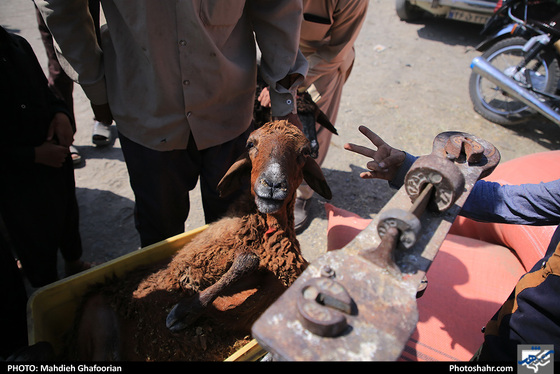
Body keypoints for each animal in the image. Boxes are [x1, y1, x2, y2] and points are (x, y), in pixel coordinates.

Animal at [70, 121, 332, 360]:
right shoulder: (191, 265)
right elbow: (242, 264)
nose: (273, 184)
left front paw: (185, 312)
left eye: (305, 152)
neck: (266, 234)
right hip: (103, 324)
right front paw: (182, 312)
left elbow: (246, 269)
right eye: (250, 144)